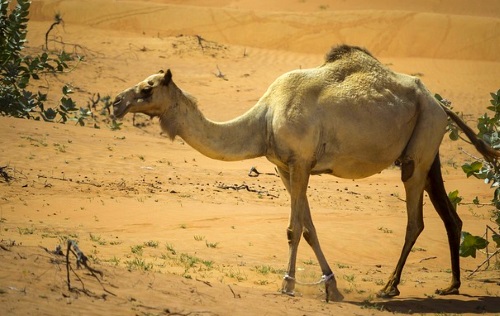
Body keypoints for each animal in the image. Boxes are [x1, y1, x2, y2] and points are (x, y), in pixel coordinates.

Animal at [113, 44, 500, 302]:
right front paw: (331, 285)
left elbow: (293, 228)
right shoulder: (285, 167)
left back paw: (389, 287)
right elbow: (310, 228)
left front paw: (286, 284)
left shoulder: (300, 163)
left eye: (147, 87)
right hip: (429, 150)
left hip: (419, 151)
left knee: (415, 221)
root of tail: (441, 104)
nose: (115, 102)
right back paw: (451, 286)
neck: (265, 118)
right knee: (450, 217)